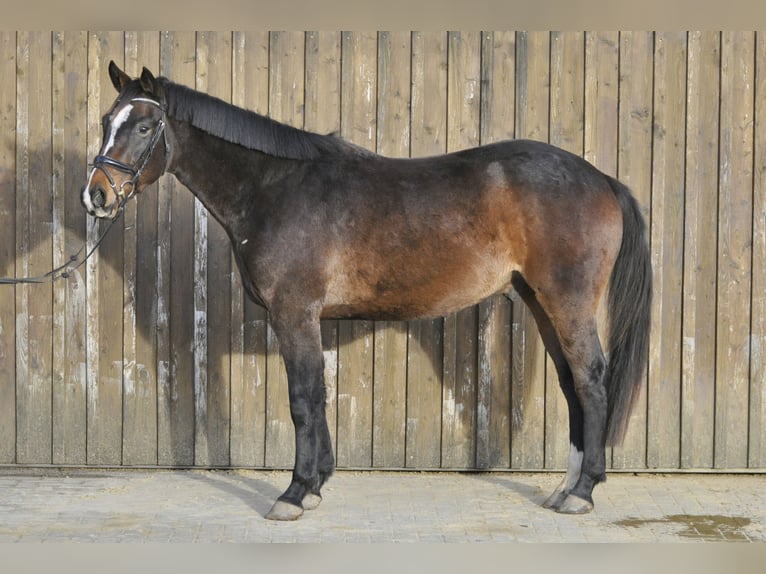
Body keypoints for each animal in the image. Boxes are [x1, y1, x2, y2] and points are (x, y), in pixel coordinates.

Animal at [82, 61, 652, 521]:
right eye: (107, 122)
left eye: (145, 125)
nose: (96, 196)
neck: (274, 187)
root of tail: (602, 179)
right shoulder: (304, 319)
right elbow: (318, 395)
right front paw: (315, 486)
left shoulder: (294, 313)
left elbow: (302, 399)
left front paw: (294, 493)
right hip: (540, 301)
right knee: (572, 383)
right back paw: (566, 488)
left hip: (565, 301)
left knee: (591, 380)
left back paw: (582, 493)